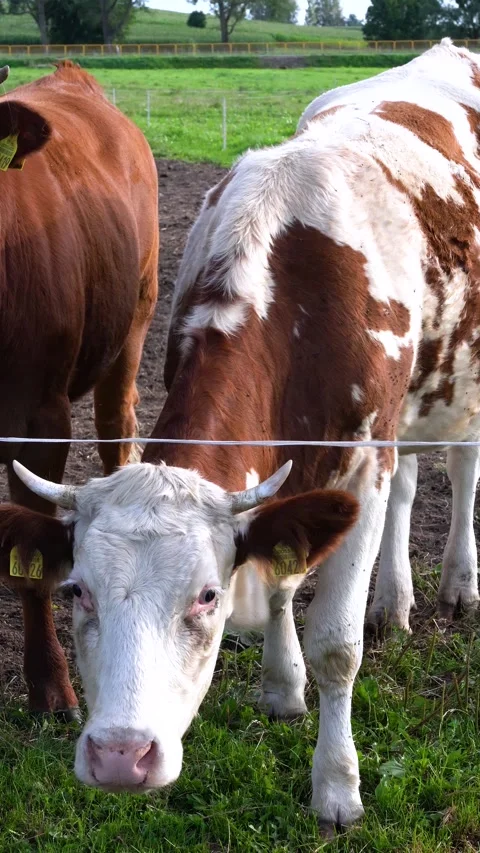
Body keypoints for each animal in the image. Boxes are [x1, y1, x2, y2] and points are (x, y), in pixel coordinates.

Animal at [1, 38, 480, 828]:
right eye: (76, 591)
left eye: (206, 596)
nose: (120, 755)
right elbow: (282, 574)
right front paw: (282, 688)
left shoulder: (363, 459)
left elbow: (337, 645)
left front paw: (337, 786)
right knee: (413, 482)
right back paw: (395, 600)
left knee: (462, 469)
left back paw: (457, 585)